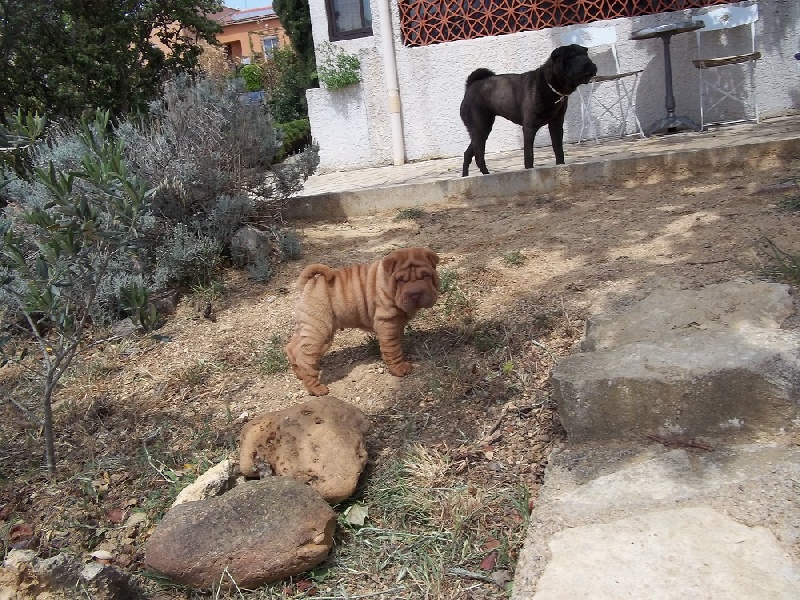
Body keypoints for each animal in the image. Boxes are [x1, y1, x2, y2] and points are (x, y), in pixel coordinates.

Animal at [285, 247, 440, 396]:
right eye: (400, 280)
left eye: (426, 276)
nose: (415, 294)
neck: (386, 282)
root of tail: (309, 283)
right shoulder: (387, 322)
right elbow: (393, 348)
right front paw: (399, 368)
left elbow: (397, 341)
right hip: (320, 330)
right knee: (306, 359)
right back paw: (316, 388)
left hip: (308, 327)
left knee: (293, 348)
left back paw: (299, 374)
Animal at [460, 44, 597, 176]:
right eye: (570, 57)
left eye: (586, 54)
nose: (588, 63)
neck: (550, 86)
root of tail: (470, 86)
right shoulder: (529, 128)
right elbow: (529, 155)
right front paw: (529, 172)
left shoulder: (556, 125)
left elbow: (558, 149)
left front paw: (560, 166)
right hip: (480, 128)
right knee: (479, 156)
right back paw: (486, 176)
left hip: (483, 130)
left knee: (468, 154)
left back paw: (466, 177)